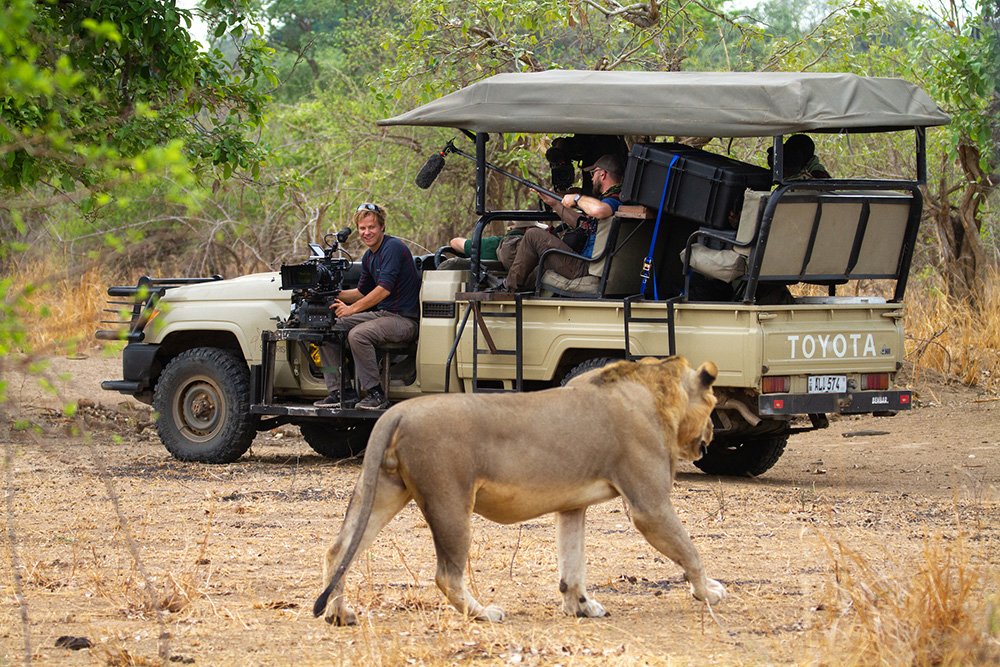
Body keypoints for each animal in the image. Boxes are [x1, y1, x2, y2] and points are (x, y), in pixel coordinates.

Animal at [314, 358, 728, 624]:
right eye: (713, 404)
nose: (712, 434)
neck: (654, 392)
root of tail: (395, 412)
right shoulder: (649, 505)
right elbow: (691, 551)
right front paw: (708, 591)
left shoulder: (572, 507)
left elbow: (573, 562)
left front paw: (581, 606)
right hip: (449, 501)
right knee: (447, 575)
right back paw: (484, 613)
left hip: (384, 491)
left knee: (339, 549)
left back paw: (339, 613)